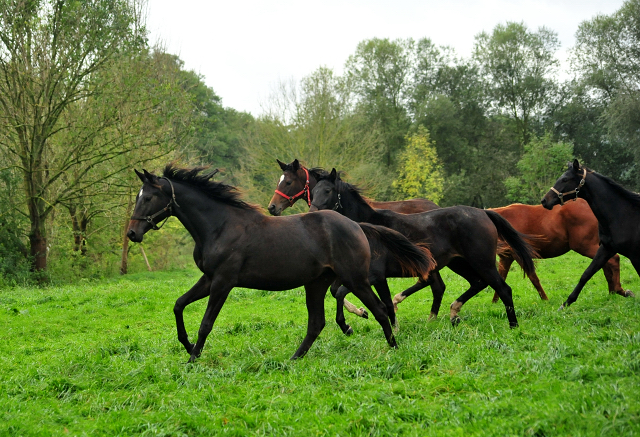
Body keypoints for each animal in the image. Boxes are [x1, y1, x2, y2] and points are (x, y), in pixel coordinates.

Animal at [310, 169, 536, 328]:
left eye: (328, 191)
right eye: (313, 192)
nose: (312, 213)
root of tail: (484, 213)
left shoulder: (374, 275)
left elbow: (344, 293)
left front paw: (351, 324)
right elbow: (355, 295)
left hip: (482, 262)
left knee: (503, 289)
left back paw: (513, 325)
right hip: (459, 263)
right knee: (477, 283)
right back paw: (453, 313)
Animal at [490, 199, 632, 302]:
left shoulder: (519, 255)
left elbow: (533, 277)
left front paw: (545, 299)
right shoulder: (507, 257)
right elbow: (500, 278)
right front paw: (495, 302)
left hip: (585, 246)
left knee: (613, 260)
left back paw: (619, 290)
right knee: (605, 265)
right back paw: (612, 292)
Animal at [544, 158, 636, 308]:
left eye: (565, 179)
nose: (544, 200)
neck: (622, 215)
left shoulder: (634, 255)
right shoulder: (606, 248)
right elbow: (586, 274)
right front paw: (566, 303)